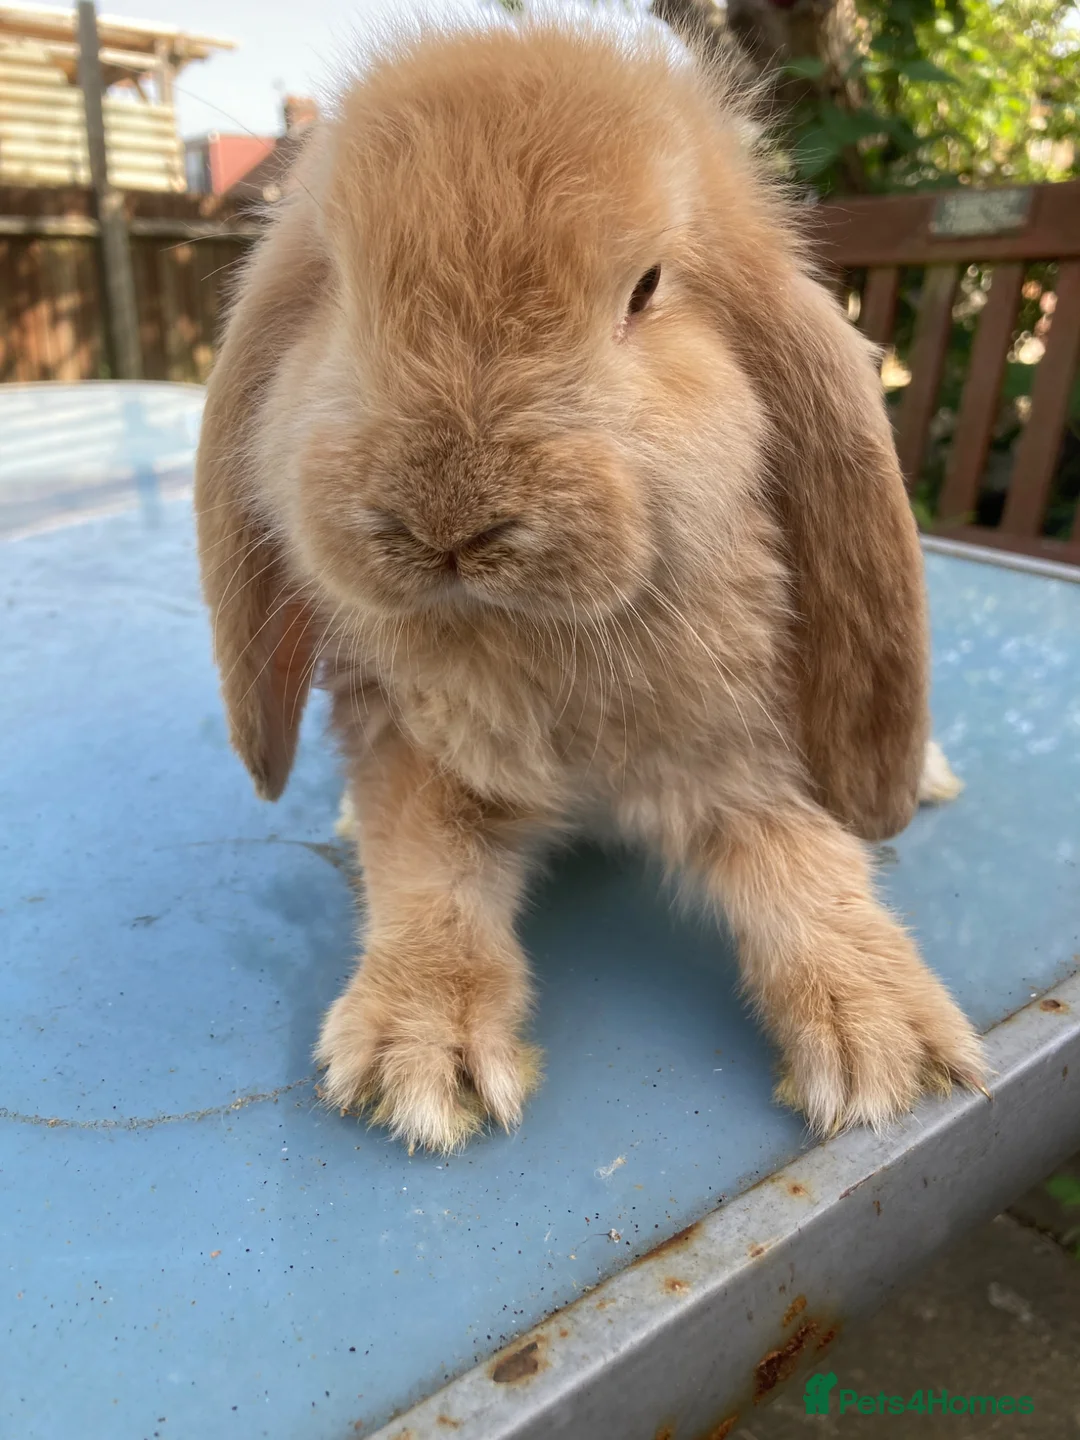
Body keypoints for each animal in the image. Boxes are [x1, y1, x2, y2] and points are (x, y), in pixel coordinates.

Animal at [194, 13, 985, 1155]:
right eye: (336, 284)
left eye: (647, 288)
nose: (448, 520)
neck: (535, 641)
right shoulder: (418, 756)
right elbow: (427, 875)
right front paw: (416, 1055)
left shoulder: (741, 754)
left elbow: (807, 866)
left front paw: (887, 1042)